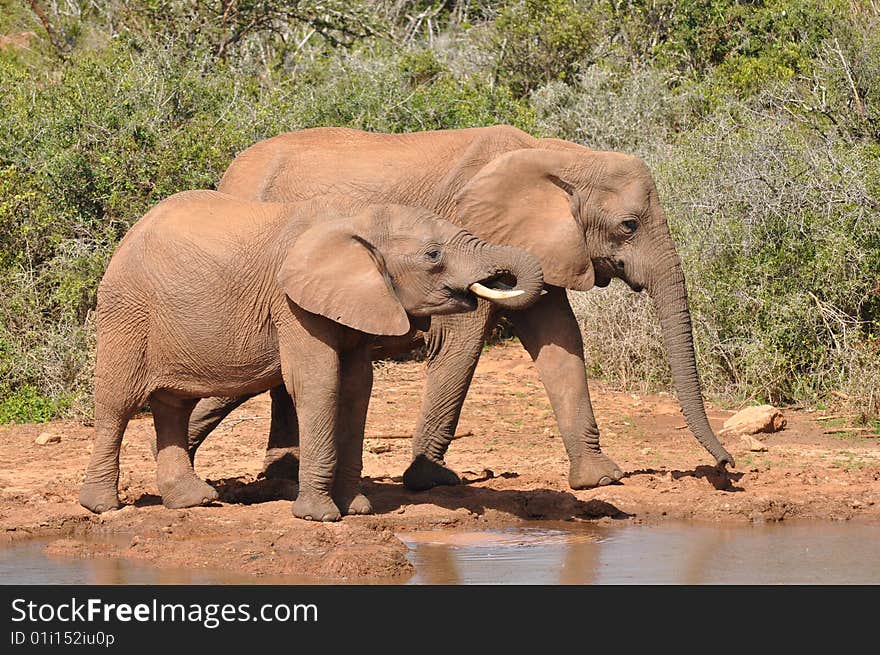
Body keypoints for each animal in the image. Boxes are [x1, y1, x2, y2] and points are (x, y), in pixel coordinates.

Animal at [77, 191, 544, 524]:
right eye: (433, 255)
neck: (356, 218)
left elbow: (357, 388)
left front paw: (357, 509)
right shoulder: (293, 304)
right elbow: (318, 383)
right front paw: (319, 517)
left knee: (172, 405)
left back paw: (193, 502)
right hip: (126, 309)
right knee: (117, 403)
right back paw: (102, 507)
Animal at [180, 125, 736, 498]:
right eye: (628, 225)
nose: (727, 468)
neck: (561, 155)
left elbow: (559, 339)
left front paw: (599, 479)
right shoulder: (468, 235)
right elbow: (461, 341)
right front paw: (431, 481)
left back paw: (276, 477)